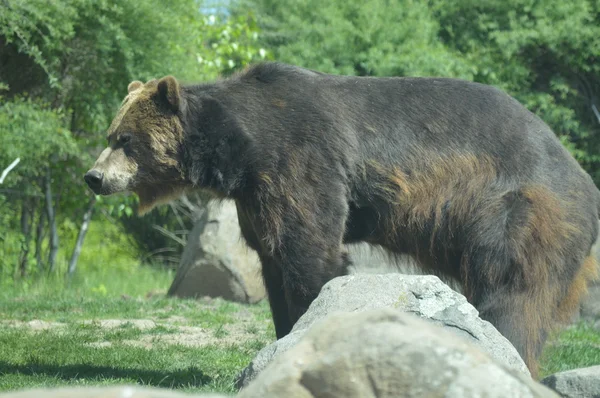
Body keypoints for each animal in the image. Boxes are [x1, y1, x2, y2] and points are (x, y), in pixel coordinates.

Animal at [84, 60, 600, 378]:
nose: (93, 176)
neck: (240, 150)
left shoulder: (303, 155)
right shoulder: (256, 194)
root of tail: (582, 176)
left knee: (511, 293)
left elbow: (309, 249)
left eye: (126, 140)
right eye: (111, 134)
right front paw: (283, 332)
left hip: (517, 208)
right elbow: (272, 258)